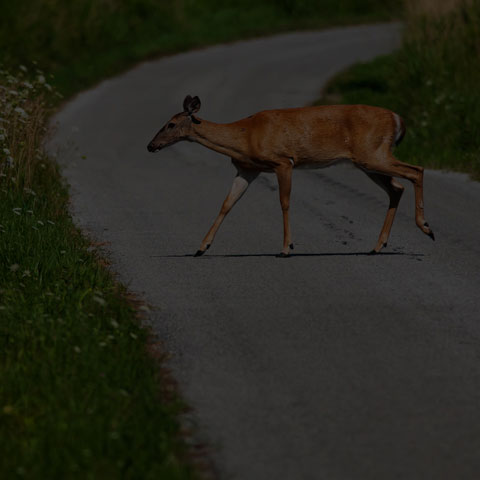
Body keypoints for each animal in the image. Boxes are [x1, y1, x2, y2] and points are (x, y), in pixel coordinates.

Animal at [146, 95, 436, 256]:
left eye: (171, 124)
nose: (150, 145)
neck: (244, 136)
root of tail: (399, 119)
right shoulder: (247, 169)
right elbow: (227, 204)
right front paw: (201, 247)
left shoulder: (283, 161)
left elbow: (284, 202)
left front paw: (287, 248)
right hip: (368, 161)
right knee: (397, 187)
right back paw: (378, 246)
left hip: (372, 153)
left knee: (416, 171)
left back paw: (426, 227)